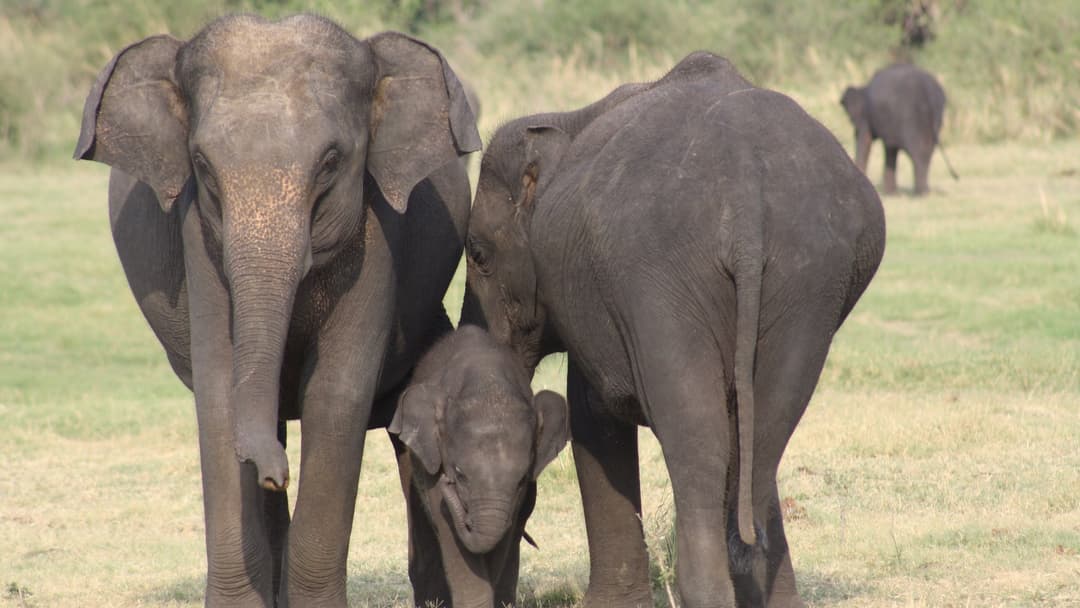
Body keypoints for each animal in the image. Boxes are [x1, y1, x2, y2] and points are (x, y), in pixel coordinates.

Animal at [74, 14, 479, 608]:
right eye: (202, 165)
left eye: (331, 162)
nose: (276, 476)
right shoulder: (200, 240)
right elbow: (219, 393)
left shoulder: (378, 233)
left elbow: (337, 395)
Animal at [389, 325, 569, 607]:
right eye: (459, 475)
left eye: (521, 480)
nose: (447, 482)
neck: (487, 384)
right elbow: (447, 525)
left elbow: (505, 532)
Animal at [460, 52, 886, 607]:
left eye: (477, 254)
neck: (569, 121)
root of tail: (745, 194)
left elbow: (593, 418)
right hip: (809, 280)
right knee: (760, 435)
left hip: (661, 276)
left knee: (700, 442)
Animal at [840, 63, 957, 196]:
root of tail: (928, 92)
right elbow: (890, 148)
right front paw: (891, 193)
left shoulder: (866, 115)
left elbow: (866, 140)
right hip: (936, 118)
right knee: (928, 150)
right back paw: (925, 191)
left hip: (911, 117)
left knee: (917, 151)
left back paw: (920, 193)